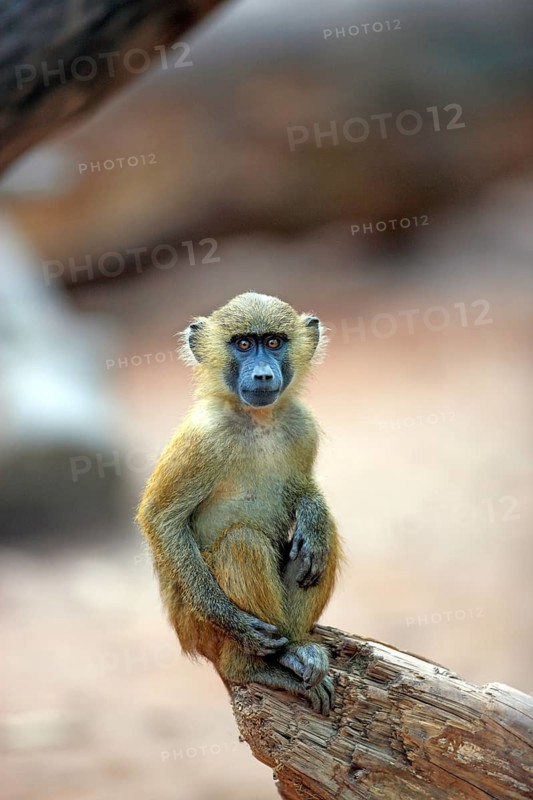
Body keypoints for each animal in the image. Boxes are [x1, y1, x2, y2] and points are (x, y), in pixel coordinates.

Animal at [136, 292, 342, 715]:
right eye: (244, 344)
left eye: (274, 342)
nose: (262, 375)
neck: (257, 419)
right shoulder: (202, 436)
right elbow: (161, 519)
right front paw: (236, 622)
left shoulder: (302, 426)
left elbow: (303, 493)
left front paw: (312, 511)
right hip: (196, 628)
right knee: (240, 541)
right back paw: (257, 665)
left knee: (319, 543)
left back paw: (299, 649)